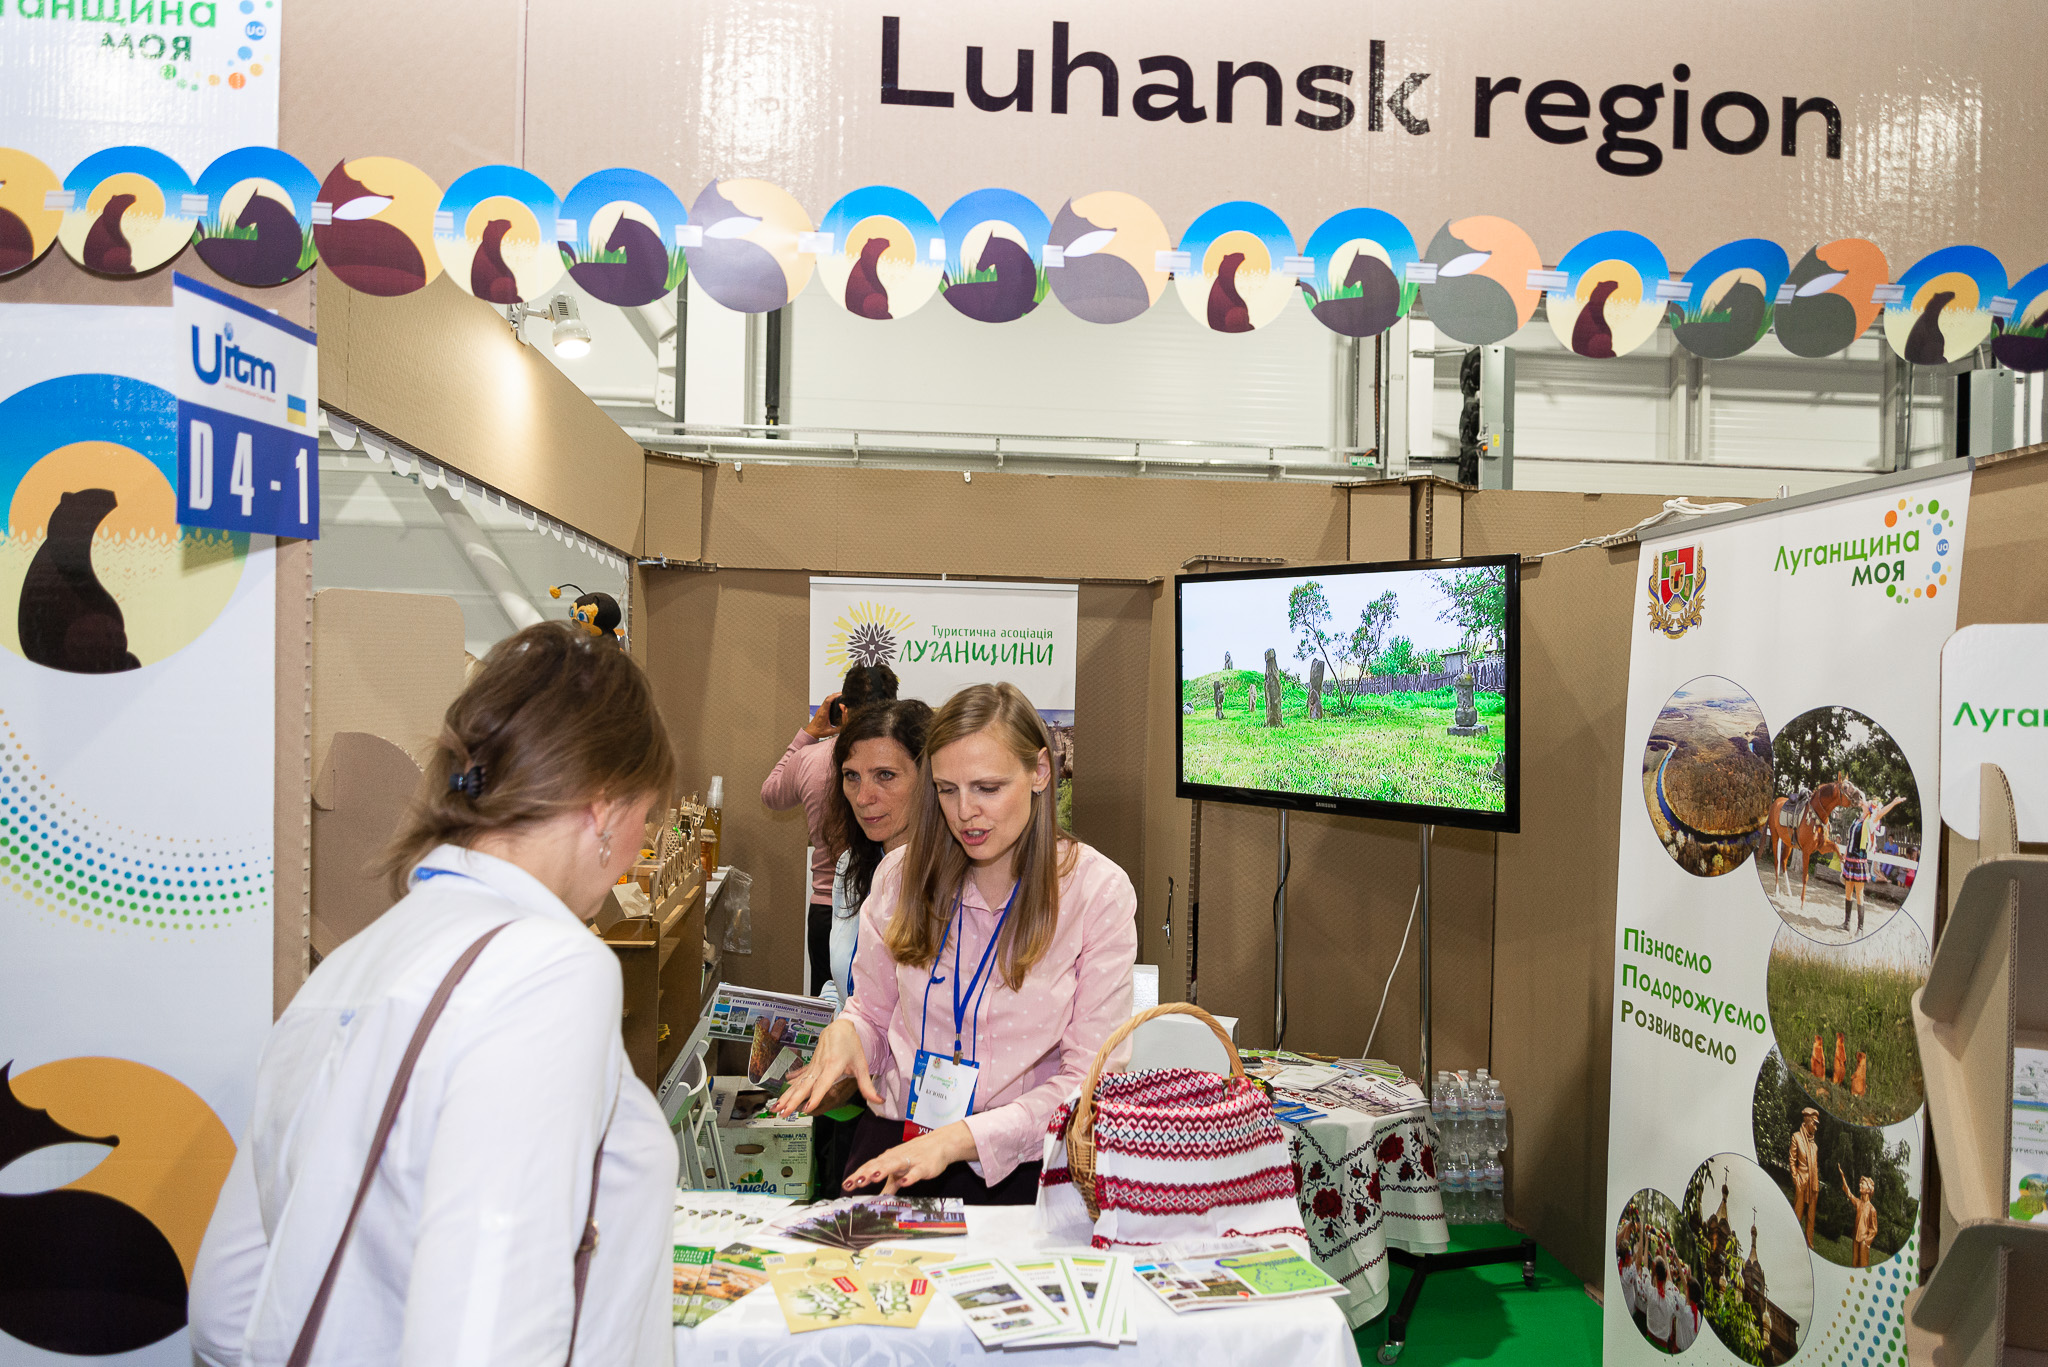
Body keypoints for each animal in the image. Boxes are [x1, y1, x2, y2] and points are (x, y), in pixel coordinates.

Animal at [1767, 774, 1863, 906]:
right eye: (1845, 787)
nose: (1861, 796)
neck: (1816, 816)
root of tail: (1776, 802)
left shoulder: (1822, 847)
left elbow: (1837, 849)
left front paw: (1843, 876)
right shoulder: (1806, 851)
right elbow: (1805, 877)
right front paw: (1802, 904)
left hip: (1788, 844)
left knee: (1784, 862)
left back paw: (1789, 891)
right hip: (1775, 837)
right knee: (1777, 862)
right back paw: (1777, 892)